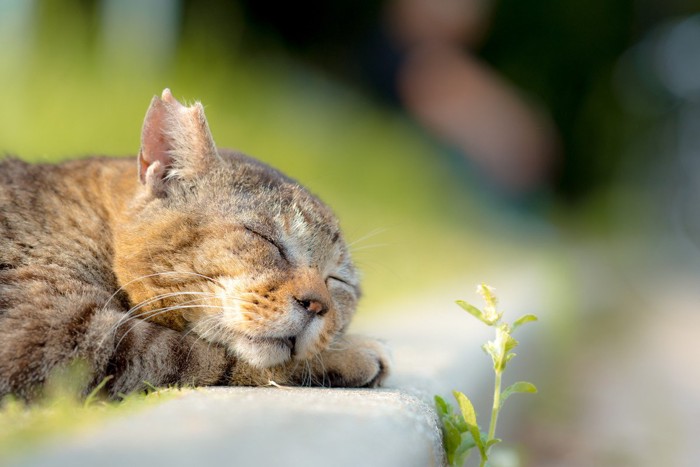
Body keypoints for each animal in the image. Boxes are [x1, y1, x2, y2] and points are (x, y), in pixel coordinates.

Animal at [0, 88, 388, 402]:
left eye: (337, 281)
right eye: (265, 238)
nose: (317, 305)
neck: (98, 223)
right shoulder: (58, 333)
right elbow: (210, 354)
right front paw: (350, 353)